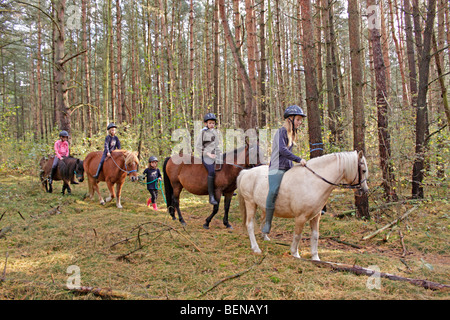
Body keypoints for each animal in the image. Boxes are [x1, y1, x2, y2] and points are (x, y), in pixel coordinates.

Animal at [237, 151, 368, 260]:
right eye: (364, 170)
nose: (364, 190)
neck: (313, 181)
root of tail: (246, 172)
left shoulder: (316, 217)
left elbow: (315, 236)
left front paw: (315, 258)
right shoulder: (300, 217)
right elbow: (297, 235)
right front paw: (295, 254)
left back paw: (265, 238)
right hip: (250, 203)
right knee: (250, 225)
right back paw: (256, 248)